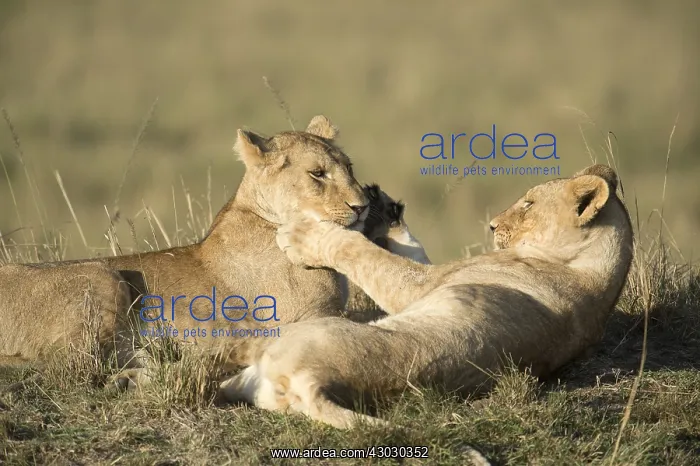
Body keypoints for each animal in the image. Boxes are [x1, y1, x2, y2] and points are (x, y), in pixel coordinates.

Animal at [219, 164, 635, 429]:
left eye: (529, 204)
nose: (493, 225)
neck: (590, 273)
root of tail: (317, 385)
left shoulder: (425, 285)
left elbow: (368, 256)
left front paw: (303, 237)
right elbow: (410, 247)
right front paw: (385, 208)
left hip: (299, 333)